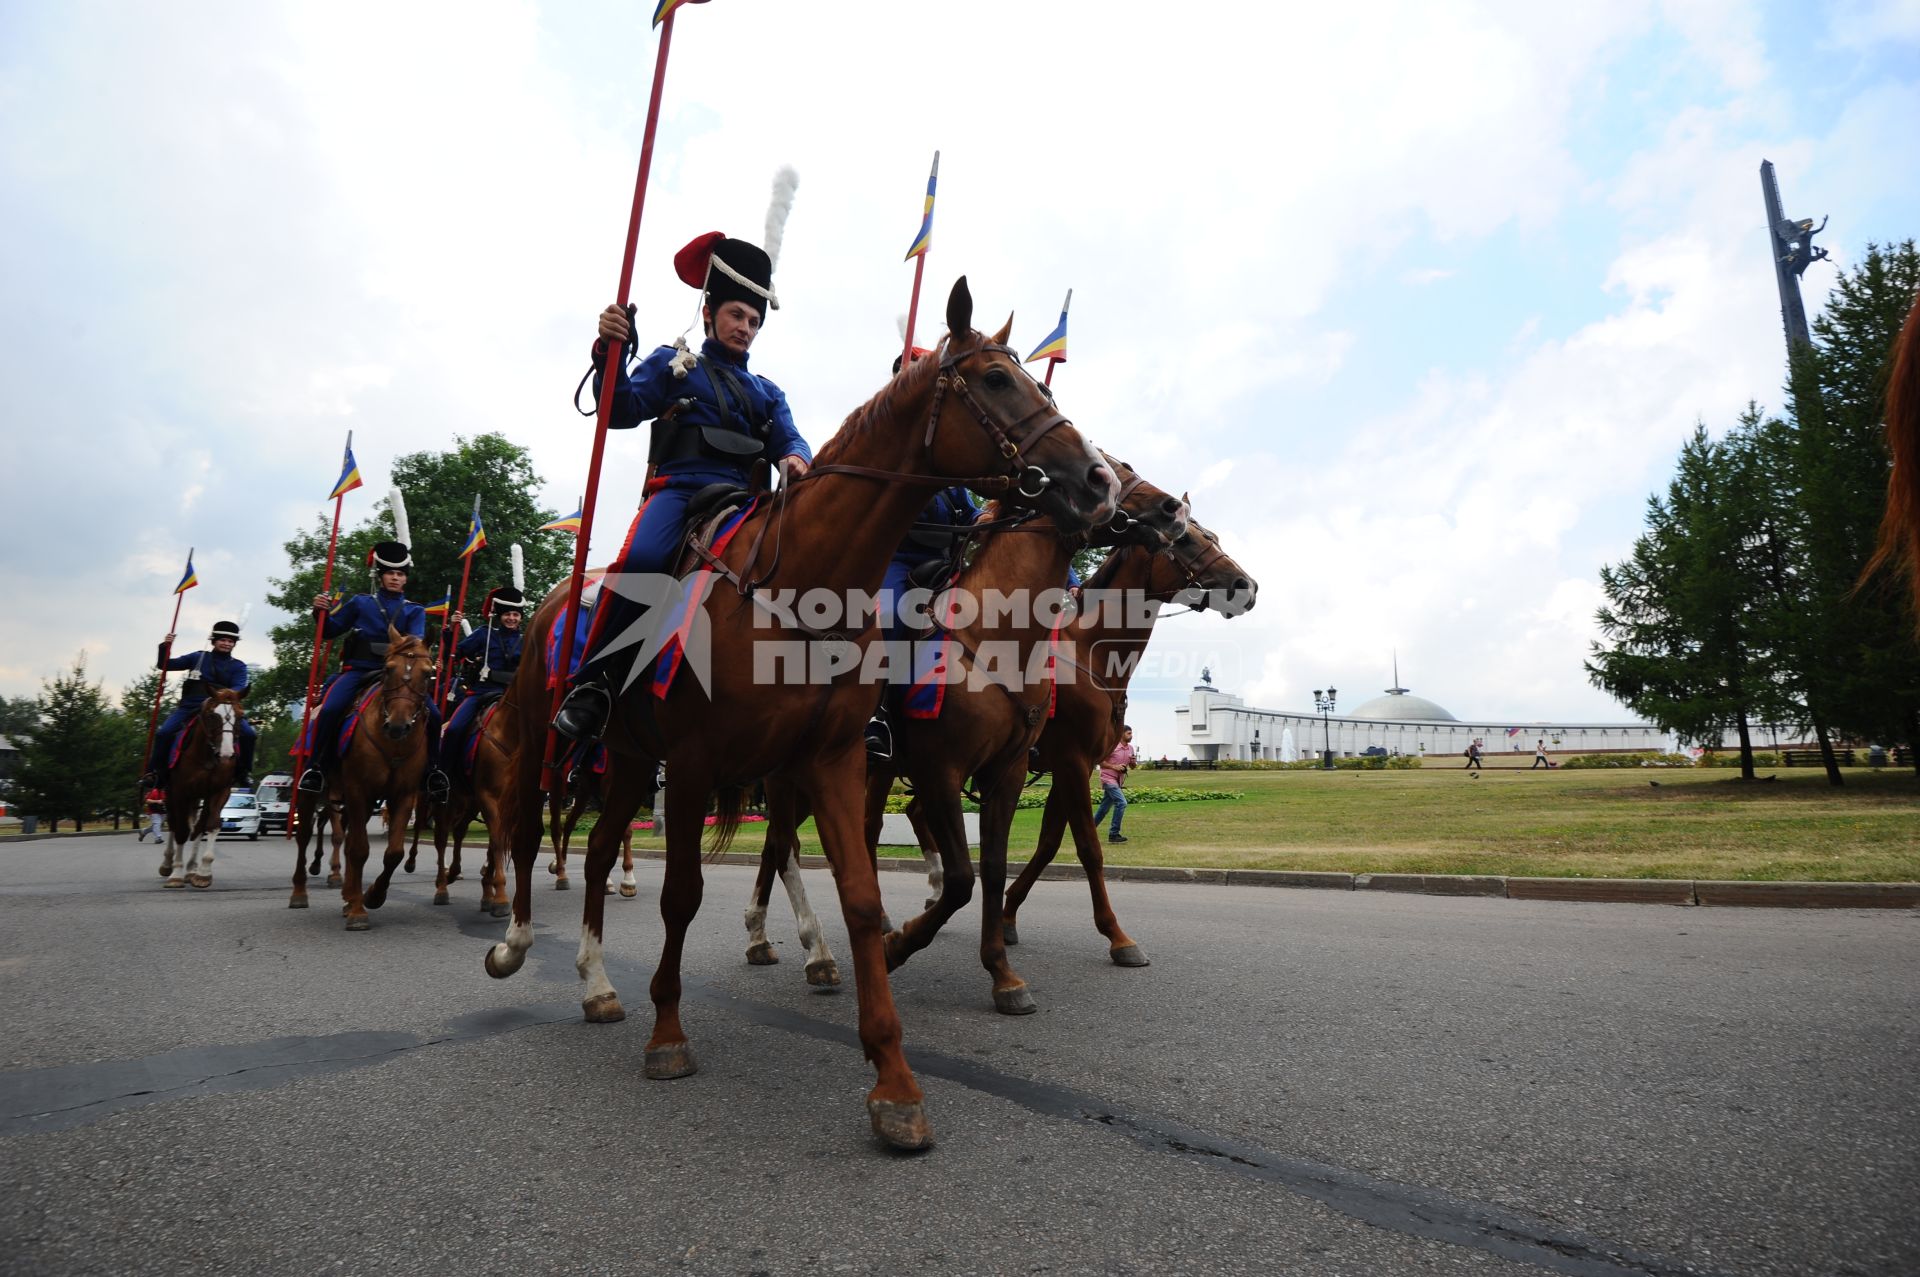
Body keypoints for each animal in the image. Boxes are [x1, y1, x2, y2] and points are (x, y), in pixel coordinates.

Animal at [154, 687, 243, 887]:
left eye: (241, 716)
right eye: (211, 715)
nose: (227, 754)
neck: (207, 757)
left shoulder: (220, 791)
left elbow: (211, 825)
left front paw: (203, 872)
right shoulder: (179, 792)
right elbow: (181, 830)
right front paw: (176, 874)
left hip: (199, 797)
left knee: (198, 828)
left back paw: (191, 869)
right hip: (172, 795)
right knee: (173, 824)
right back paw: (168, 864)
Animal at [288, 626, 435, 925]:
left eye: (427, 673)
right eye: (389, 669)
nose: (398, 726)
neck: (394, 743)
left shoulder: (403, 795)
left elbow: (393, 852)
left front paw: (372, 896)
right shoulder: (358, 790)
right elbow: (358, 849)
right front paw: (357, 910)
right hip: (312, 793)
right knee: (304, 835)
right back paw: (300, 892)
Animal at [483, 282, 1121, 1144]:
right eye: (995, 380)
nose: (1097, 479)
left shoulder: (837, 760)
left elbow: (869, 896)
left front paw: (894, 1078)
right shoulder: (699, 764)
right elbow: (681, 893)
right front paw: (668, 1034)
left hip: (629, 761)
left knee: (597, 853)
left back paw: (595, 984)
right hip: (555, 745)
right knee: (526, 833)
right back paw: (517, 943)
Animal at [1006, 514, 1259, 960]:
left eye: (1213, 536)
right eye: (1187, 539)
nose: (1245, 585)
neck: (1089, 654)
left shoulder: (1071, 767)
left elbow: (1049, 844)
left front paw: (1008, 916)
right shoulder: (1071, 762)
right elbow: (1089, 848)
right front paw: (1117, 936)